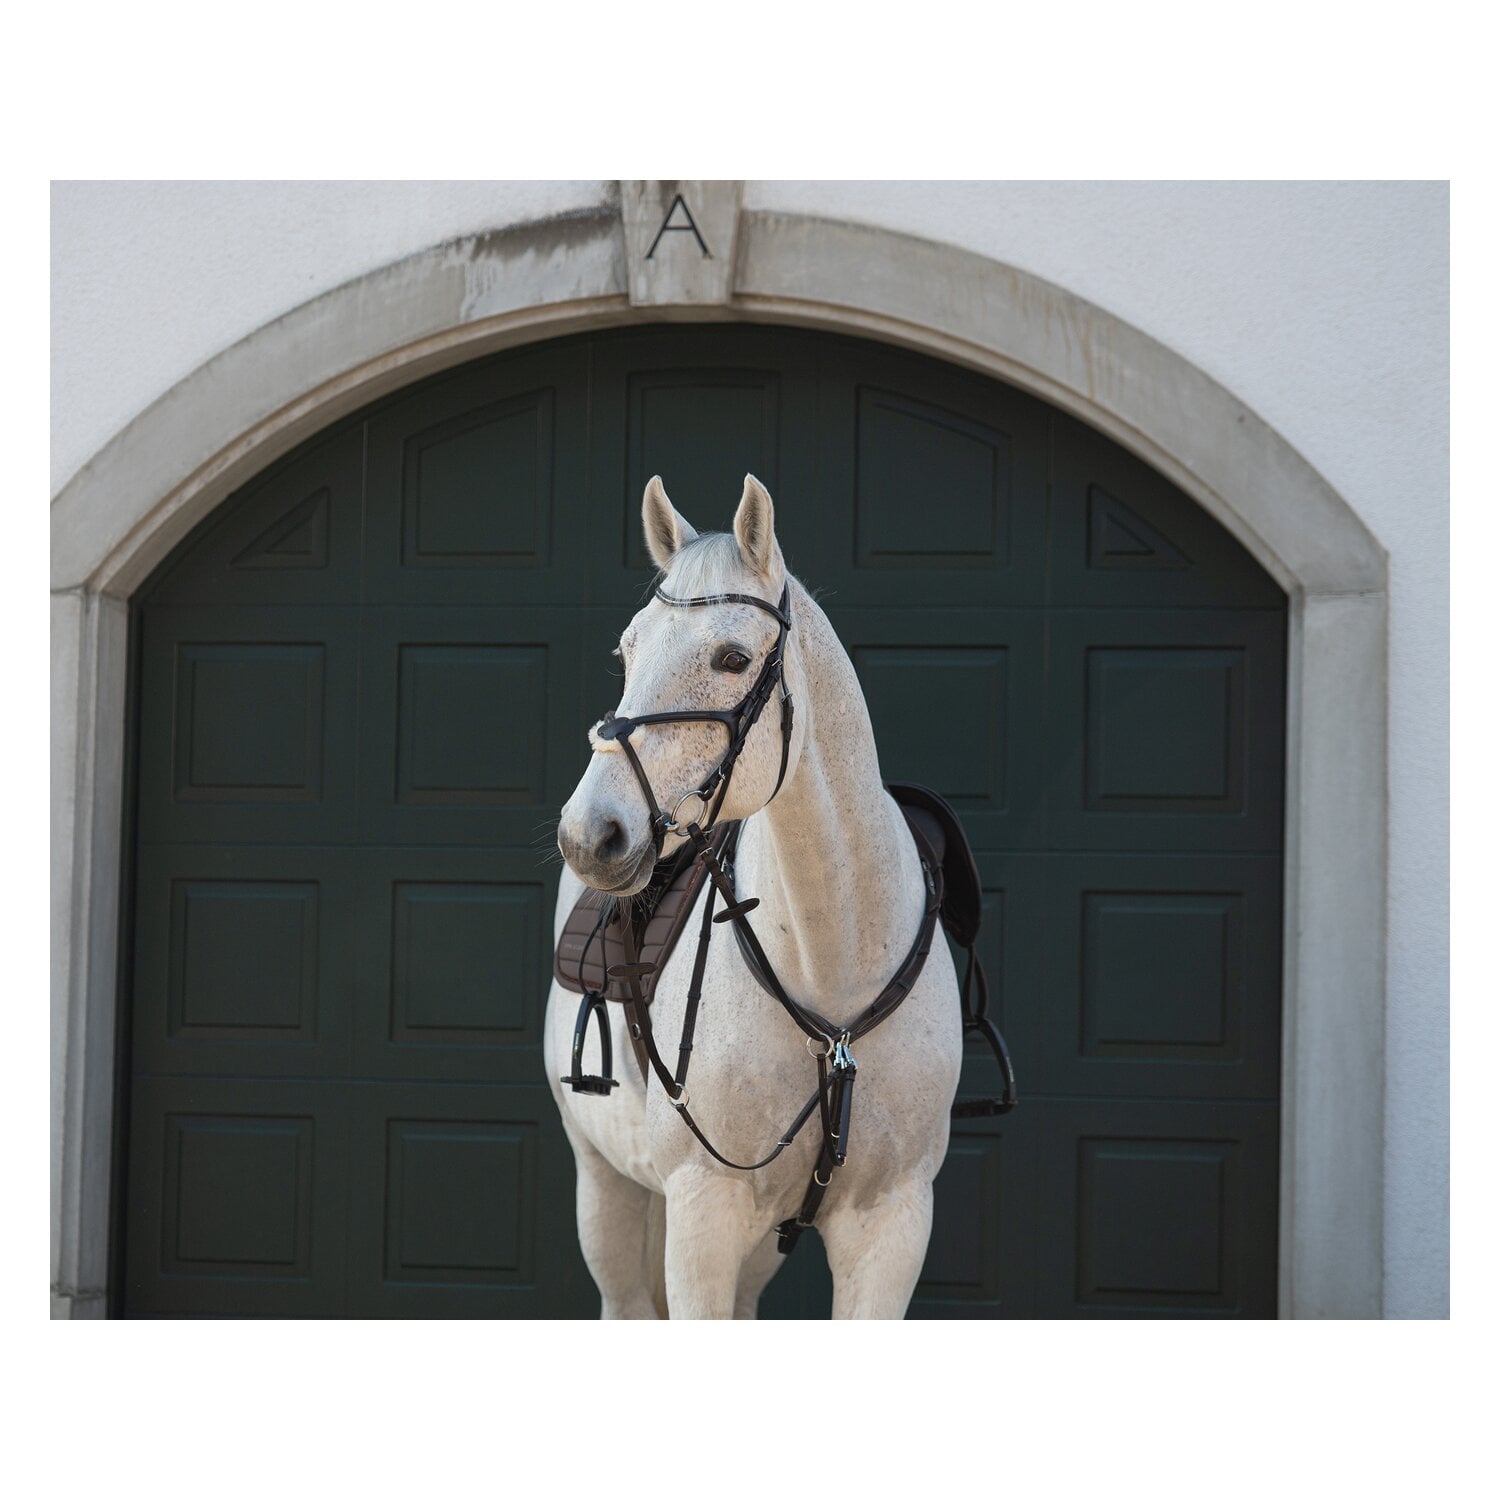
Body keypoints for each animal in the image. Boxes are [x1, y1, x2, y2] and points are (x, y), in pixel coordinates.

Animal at [544, 473, 964, 1319]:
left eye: (734, 657)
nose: (590, 833)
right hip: (605, 1184)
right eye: (626, 650)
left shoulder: (893, 1225)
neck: (834, 964)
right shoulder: (703, 1210)